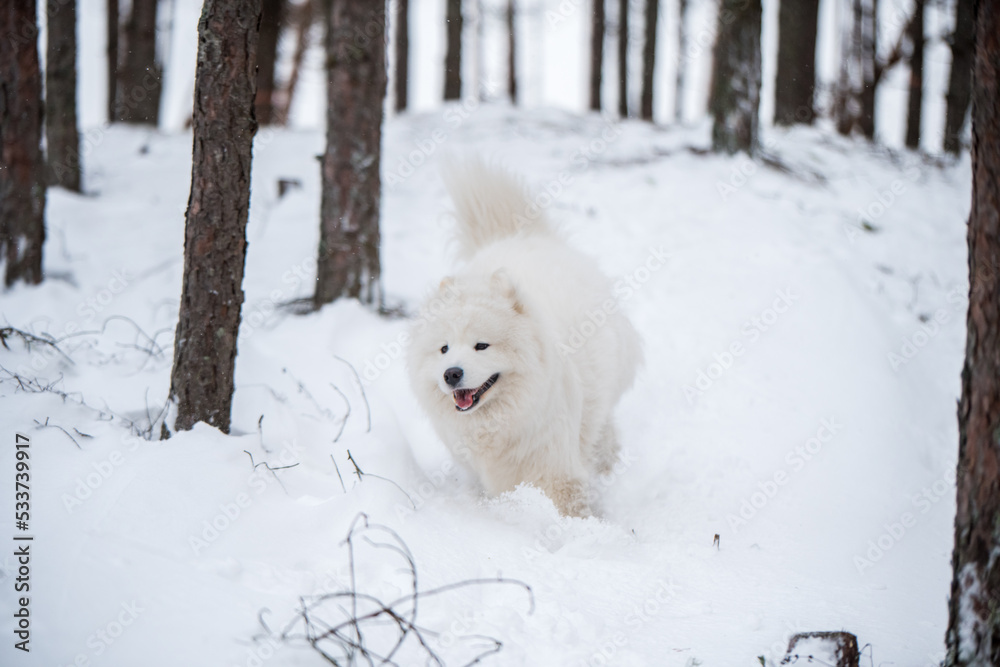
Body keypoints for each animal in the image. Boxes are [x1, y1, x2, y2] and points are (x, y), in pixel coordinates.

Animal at [406, 160, 640, 516]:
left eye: (481, 345)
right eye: (444, 349)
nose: (451, 374)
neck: (502, 425)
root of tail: (520, 235)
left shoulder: (557, 469)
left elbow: (568, 506)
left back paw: (607, 462)